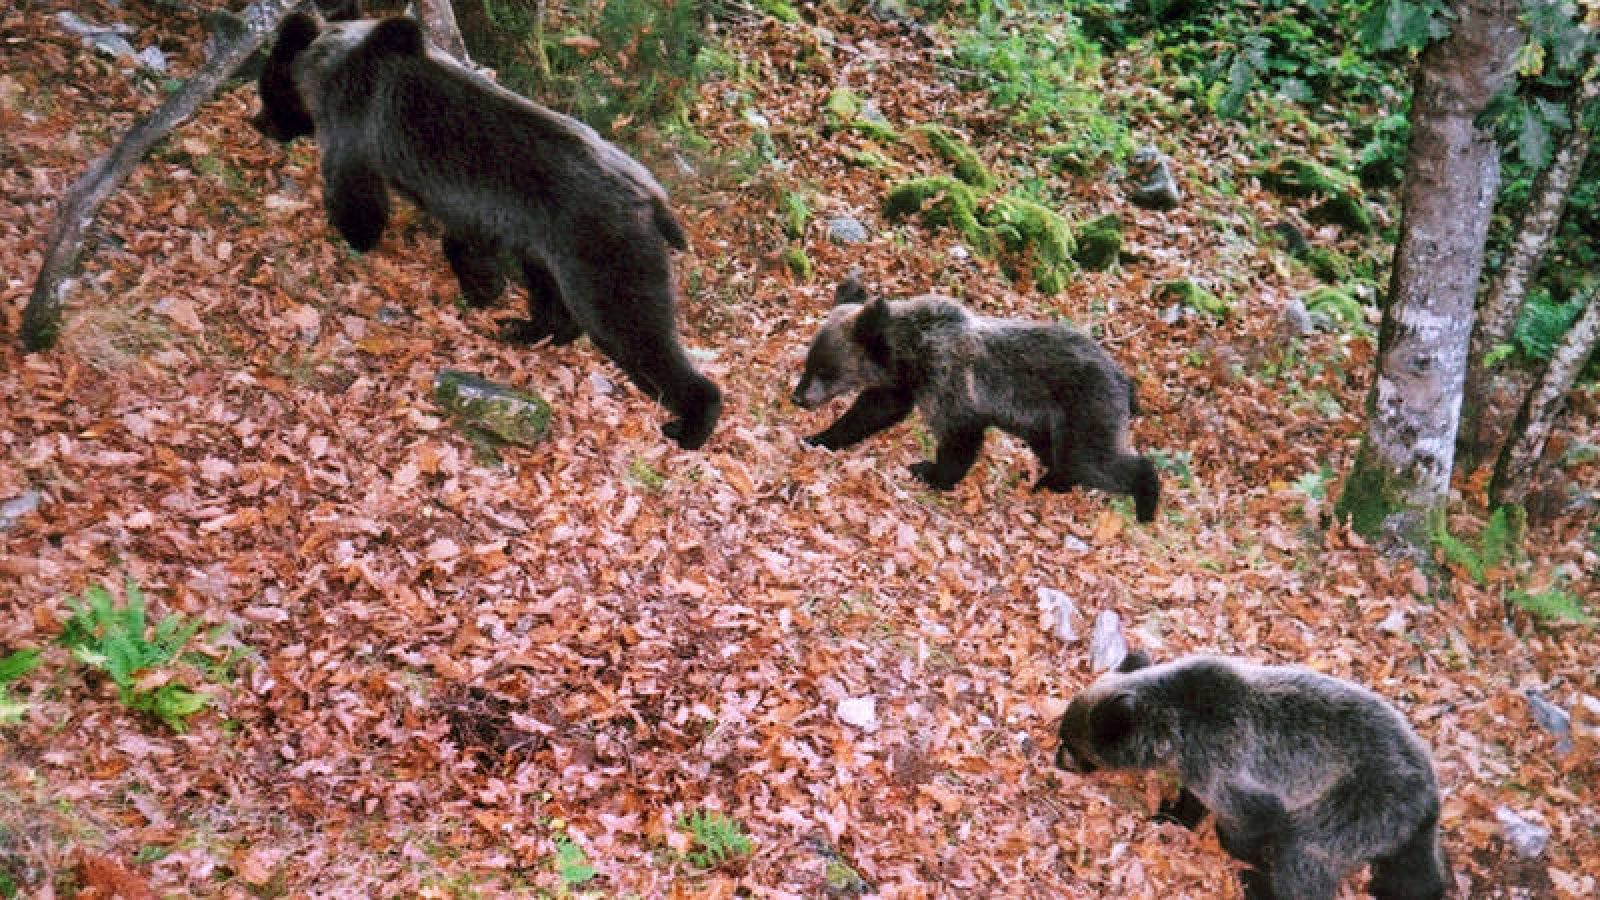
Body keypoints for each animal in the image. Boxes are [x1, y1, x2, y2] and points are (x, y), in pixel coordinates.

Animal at [252, 14, 720, 450]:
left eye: (264, 90)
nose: (260, 123)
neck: (329, 63)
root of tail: (653, 198)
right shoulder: (485, 212)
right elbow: (465, 242)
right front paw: (482, 287)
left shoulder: (355, 123)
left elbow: (356, 193)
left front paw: (353, 235)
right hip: (553, 244)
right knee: (553, 293)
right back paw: (526, 328)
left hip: (602, 245)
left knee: (632, 325)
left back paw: (689, 423)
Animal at [792, 275, 1160, 521]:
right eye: (808, 362)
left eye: (825, 369)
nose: (798, 397)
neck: (912, 353)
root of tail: (1126, 382)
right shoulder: (903, 384)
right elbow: (872, 411)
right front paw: (819, 437)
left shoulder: (951, 385)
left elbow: (959, 438)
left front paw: (929, 471)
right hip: (1049, 423)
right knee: (1065, 458)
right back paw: (1049, 482)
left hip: (1085, 408)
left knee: (1093, 460)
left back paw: (1145, 500)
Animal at [1056, 652, 1449, 900]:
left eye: (1071, 742)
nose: (1059, 760)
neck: (1175, 731)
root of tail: (1429, 795)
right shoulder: (1201, 768)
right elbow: (1194, 801)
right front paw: (1172, 814)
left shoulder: (1226, 767)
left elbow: (1248, 823)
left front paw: (1248, 863)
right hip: (1396, 826)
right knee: (1413, 871)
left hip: (1354, 803)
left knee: (1305, 855)